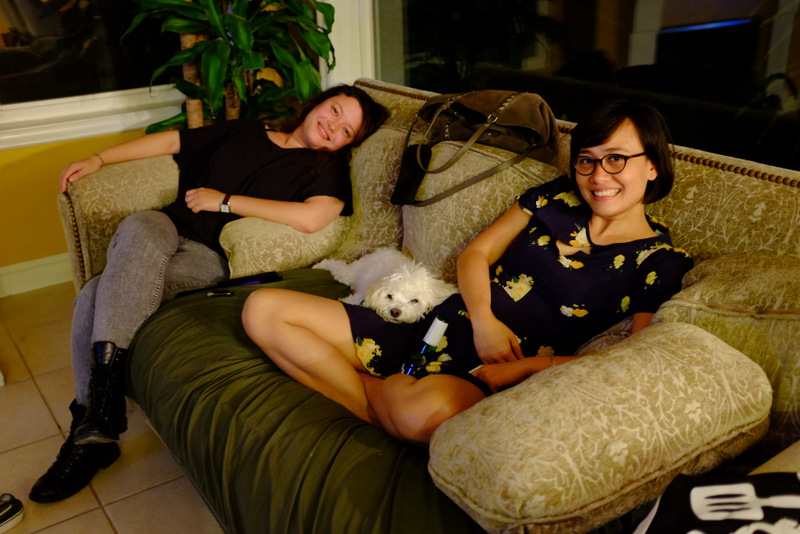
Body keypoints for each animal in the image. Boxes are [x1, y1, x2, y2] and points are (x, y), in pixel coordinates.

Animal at [314, 248, 457, 323]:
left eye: (415, 301)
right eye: (389, 296)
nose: (395, 312)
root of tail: (384, 250)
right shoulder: (358, 297)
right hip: (352, 272)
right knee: (336, 265)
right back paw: (319, 265)